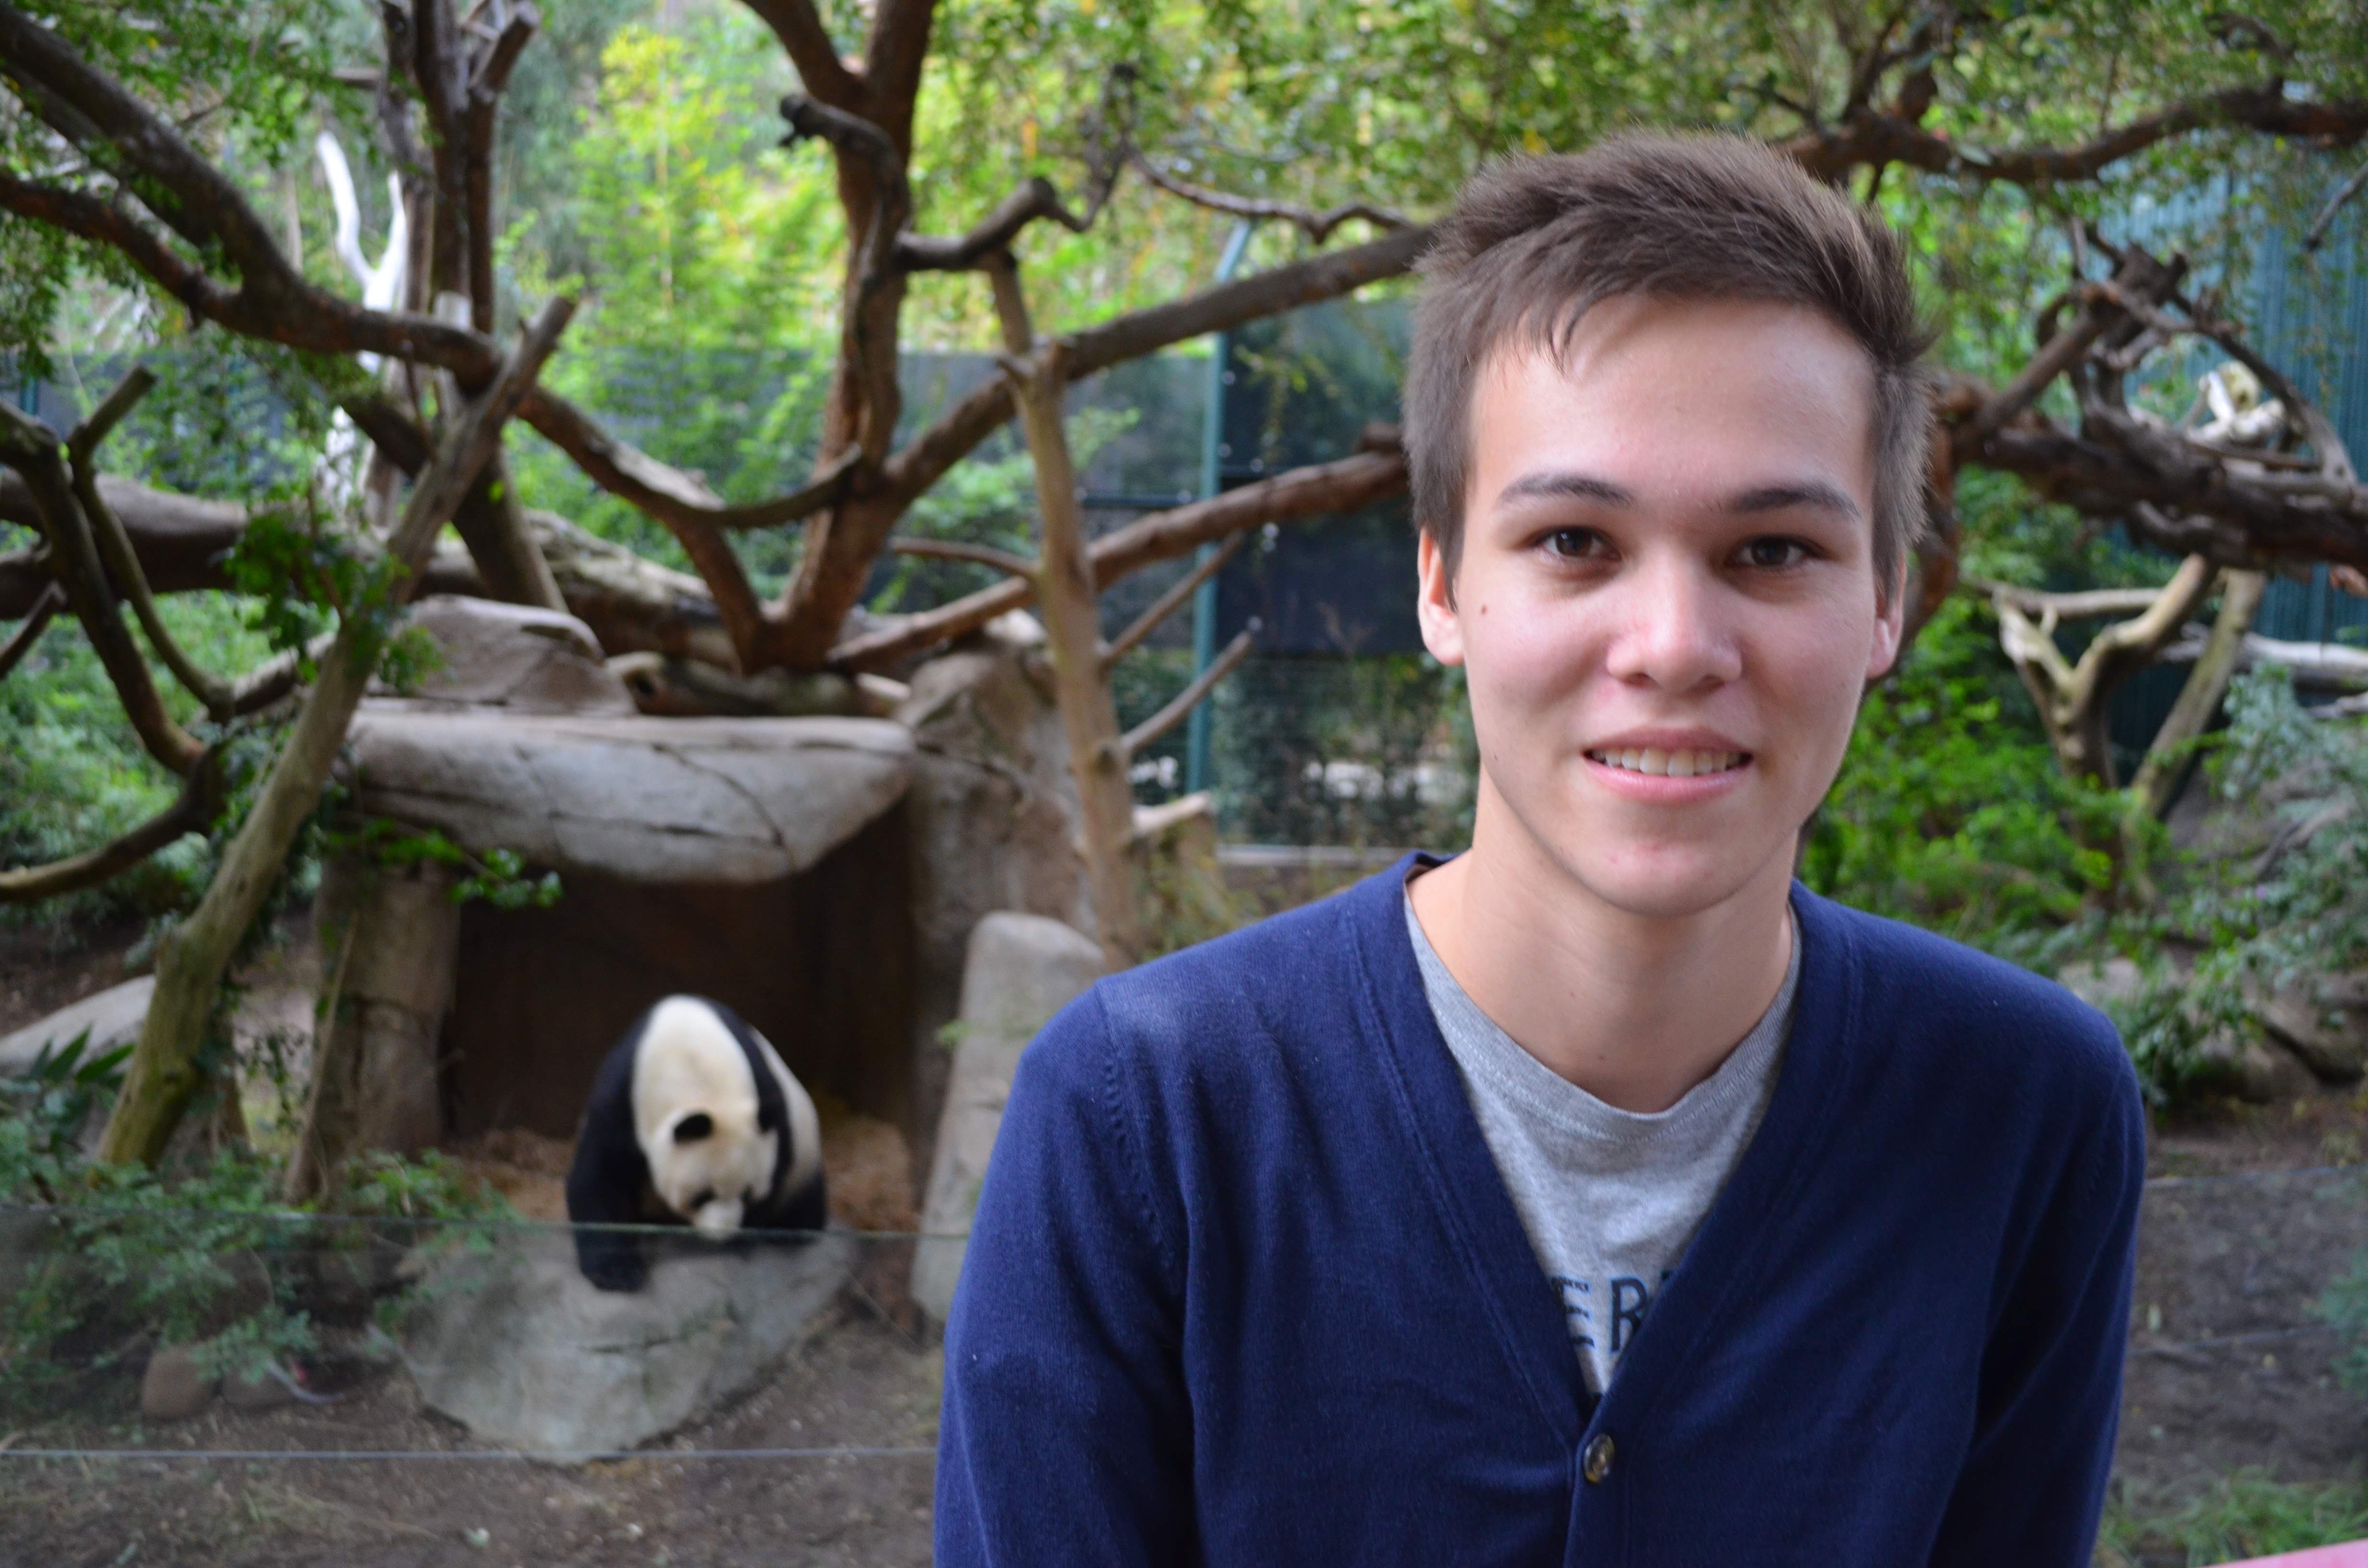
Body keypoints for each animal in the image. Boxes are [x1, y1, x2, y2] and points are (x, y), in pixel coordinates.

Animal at [566, 999, 833, 1298]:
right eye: (702, 1196)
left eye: (748, 1195)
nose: (725, 1234)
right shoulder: (624, 1094)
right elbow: (602, 1175)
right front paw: (617, 1273)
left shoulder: (767, 1101)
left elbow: (777, 1171)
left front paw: (749, 1232)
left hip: (807, 1150)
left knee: (805, 1198)